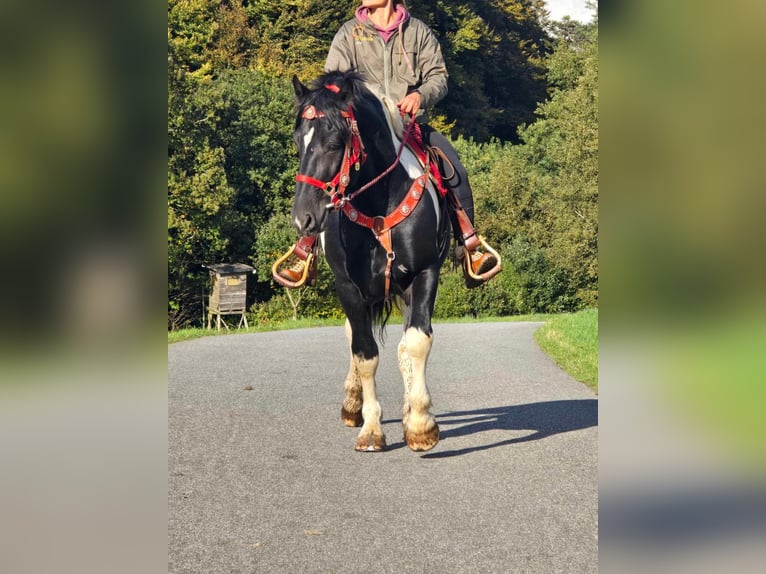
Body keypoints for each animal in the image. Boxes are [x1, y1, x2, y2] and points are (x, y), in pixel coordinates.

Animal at [292, 70, 452, 452]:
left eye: (336, 141)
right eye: (297, 140)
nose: (303, 219)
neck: (379, 203)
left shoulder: (425, 274)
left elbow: (416, 343)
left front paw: (420, 423)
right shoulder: (349, 287)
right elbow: (364, 353)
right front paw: (371, 428)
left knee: (405, 345)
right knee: (355, 336)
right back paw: (353, 404)